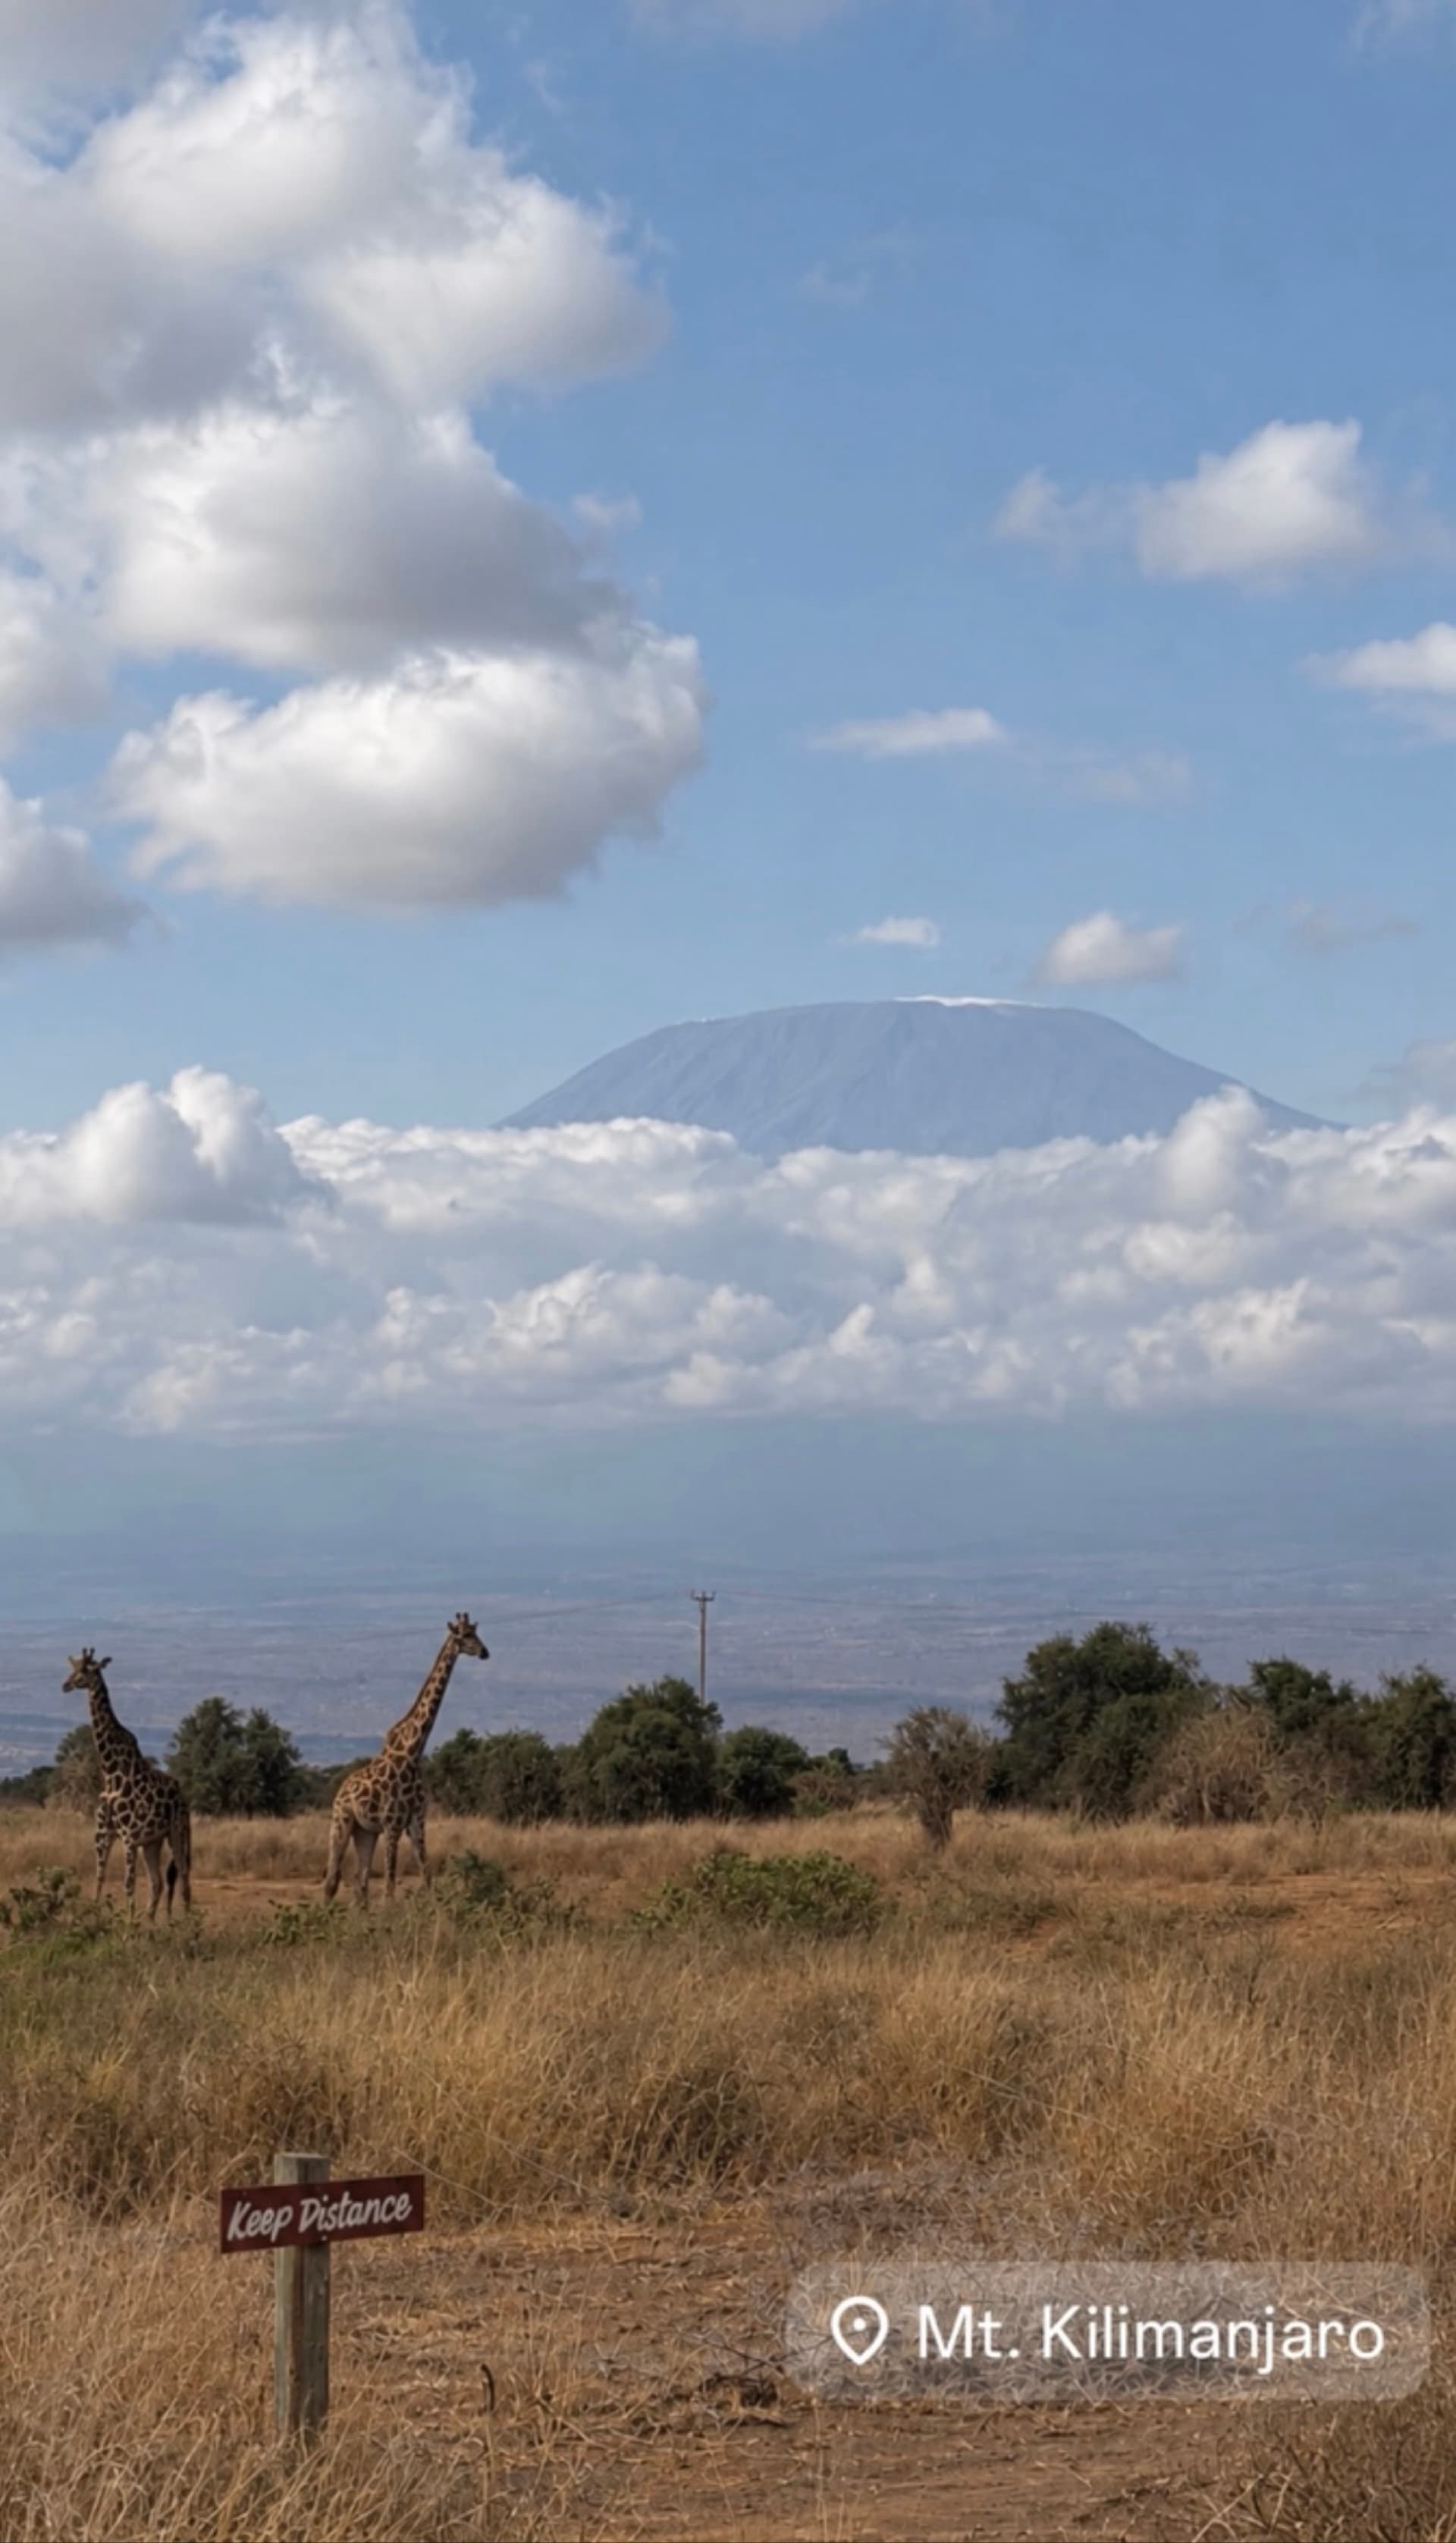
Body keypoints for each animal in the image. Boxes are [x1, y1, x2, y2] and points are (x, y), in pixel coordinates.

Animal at [62, 1648, 193, 1922]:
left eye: (87, 1670)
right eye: (74, 1668)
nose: (66, 1685)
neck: (111, 1771)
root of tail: (184, 1796)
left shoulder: (129, 1837)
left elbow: (128, 1884)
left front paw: (127, 1925)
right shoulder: (103, 1833)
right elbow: (99, 1879)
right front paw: (94, 1919)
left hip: (177, 1831)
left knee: (183, 1876)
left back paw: (186, 1923)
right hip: (152, 1842)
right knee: (158, 1882)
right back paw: (151, 1923)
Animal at [324, 1612, 489, 1907]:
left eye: (476, 1631)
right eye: (465, 1635)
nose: (485, 1652)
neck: (412, 1753)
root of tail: (341, 1790)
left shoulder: (416, 1822)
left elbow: (427, 1875)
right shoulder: (392, 1825)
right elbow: (390, 1886)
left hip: (366, 1832)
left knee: (360, 1884)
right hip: (342, 1821)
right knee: (332, 1881)